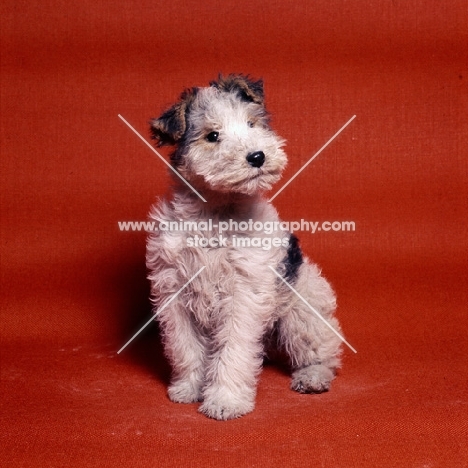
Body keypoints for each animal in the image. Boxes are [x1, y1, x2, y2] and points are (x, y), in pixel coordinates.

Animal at [147, 74, 344, 420]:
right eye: (212, 135)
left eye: (252, 123)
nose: (257, 156)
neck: (216, 213)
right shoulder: (174, 292)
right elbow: (186, 349)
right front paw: (189, 388)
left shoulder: (243, 295)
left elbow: (232, 351)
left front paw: (225, 400)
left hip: (302, 313)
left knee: (323, 353)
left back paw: (312, 378)